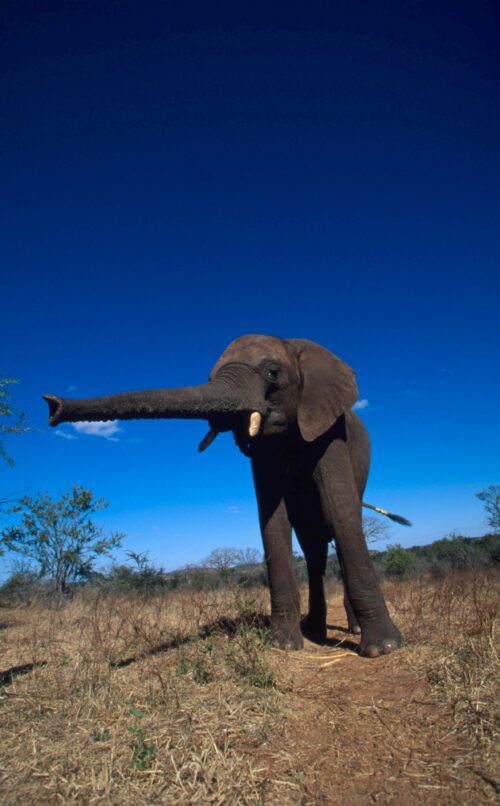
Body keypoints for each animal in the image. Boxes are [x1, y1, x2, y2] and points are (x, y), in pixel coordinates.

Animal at [44, 334, 408, 657]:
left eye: (272, 372)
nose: (52, 405)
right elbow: (273, 521)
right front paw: (284, 646)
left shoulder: (328, 427)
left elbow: (339, 510)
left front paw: (384, 649)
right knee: (312, 543)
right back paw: (314, 630)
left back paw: (352, 630)